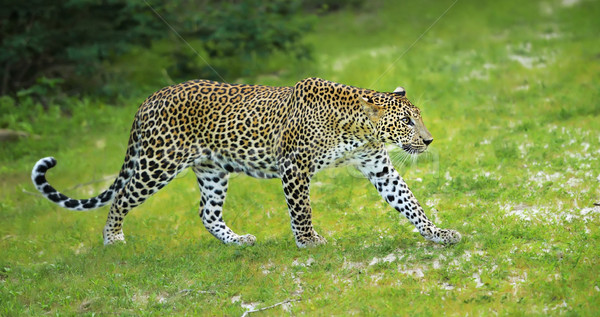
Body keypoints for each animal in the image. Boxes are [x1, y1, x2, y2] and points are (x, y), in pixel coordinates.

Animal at [30, 77, 462, 247]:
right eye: (407, 121)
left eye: (419, 118)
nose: (428, 140)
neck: (358, 130)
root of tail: (148, 100)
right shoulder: (294, 167)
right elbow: (301, 210)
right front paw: (309, 242)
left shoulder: (378, 166)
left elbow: (410, 203)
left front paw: (438, 233)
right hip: (157, 162)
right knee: (121, 199)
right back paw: (113, 239)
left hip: (212, 170)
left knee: (207, 212)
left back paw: (237, 241)